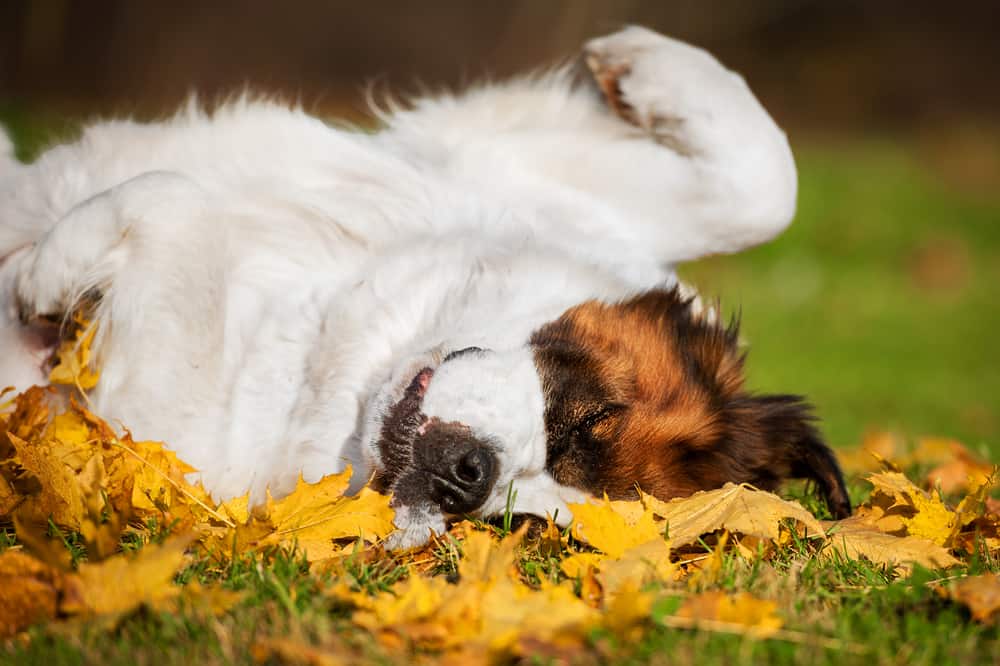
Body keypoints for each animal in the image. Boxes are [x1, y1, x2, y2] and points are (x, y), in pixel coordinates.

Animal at [0, 27, 852, 544]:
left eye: (523, 527)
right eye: (588, 417)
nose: (466, 479)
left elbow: (169, 201)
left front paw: (44, 274)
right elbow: (766, 184)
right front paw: (636, 60)